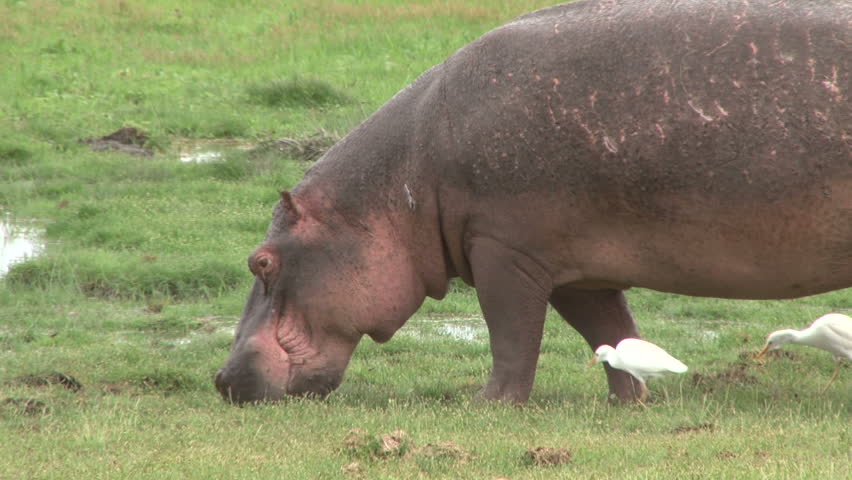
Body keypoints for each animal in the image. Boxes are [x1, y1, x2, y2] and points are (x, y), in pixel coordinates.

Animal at [215, 0, 852, 404]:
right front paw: (630, 399)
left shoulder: (503, 250)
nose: (220, 379)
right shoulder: (578, 269)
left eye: (261, 262)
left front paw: (490, 404)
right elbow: (608, 329)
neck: (402, 183)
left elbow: (512, 333)